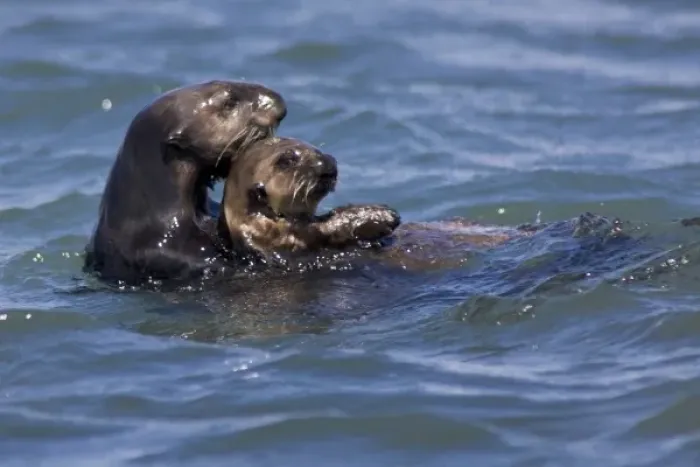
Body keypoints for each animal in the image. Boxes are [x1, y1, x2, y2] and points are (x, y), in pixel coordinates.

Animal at [217, 136, 401, 265]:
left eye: (315, 149)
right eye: (286, 160)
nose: (326, 161)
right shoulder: (298, 238)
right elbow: (331, 226)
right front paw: (384, 215)